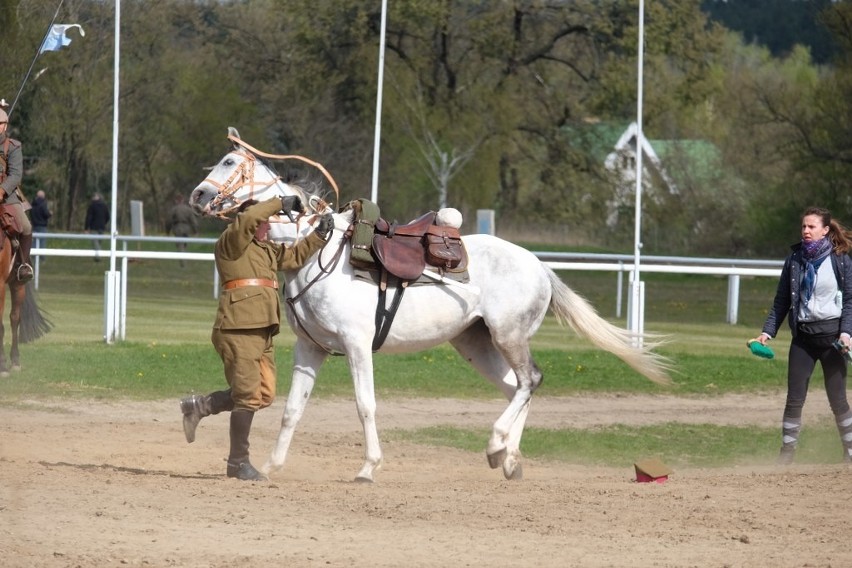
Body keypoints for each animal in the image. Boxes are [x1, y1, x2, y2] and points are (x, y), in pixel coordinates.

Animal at [191, 130, 672, 484]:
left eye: (230, 163)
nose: (196, 195)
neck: (316, 252)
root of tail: (539, 266)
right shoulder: (311, 349)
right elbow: (293, 409)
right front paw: (270, 466)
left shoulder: (357, 345)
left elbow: (365, 405)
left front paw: (368, 468)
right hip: (476, 344)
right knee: (516, 387)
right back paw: (509, 460)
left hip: (509, 335)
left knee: (530, 381)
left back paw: (496, 445)